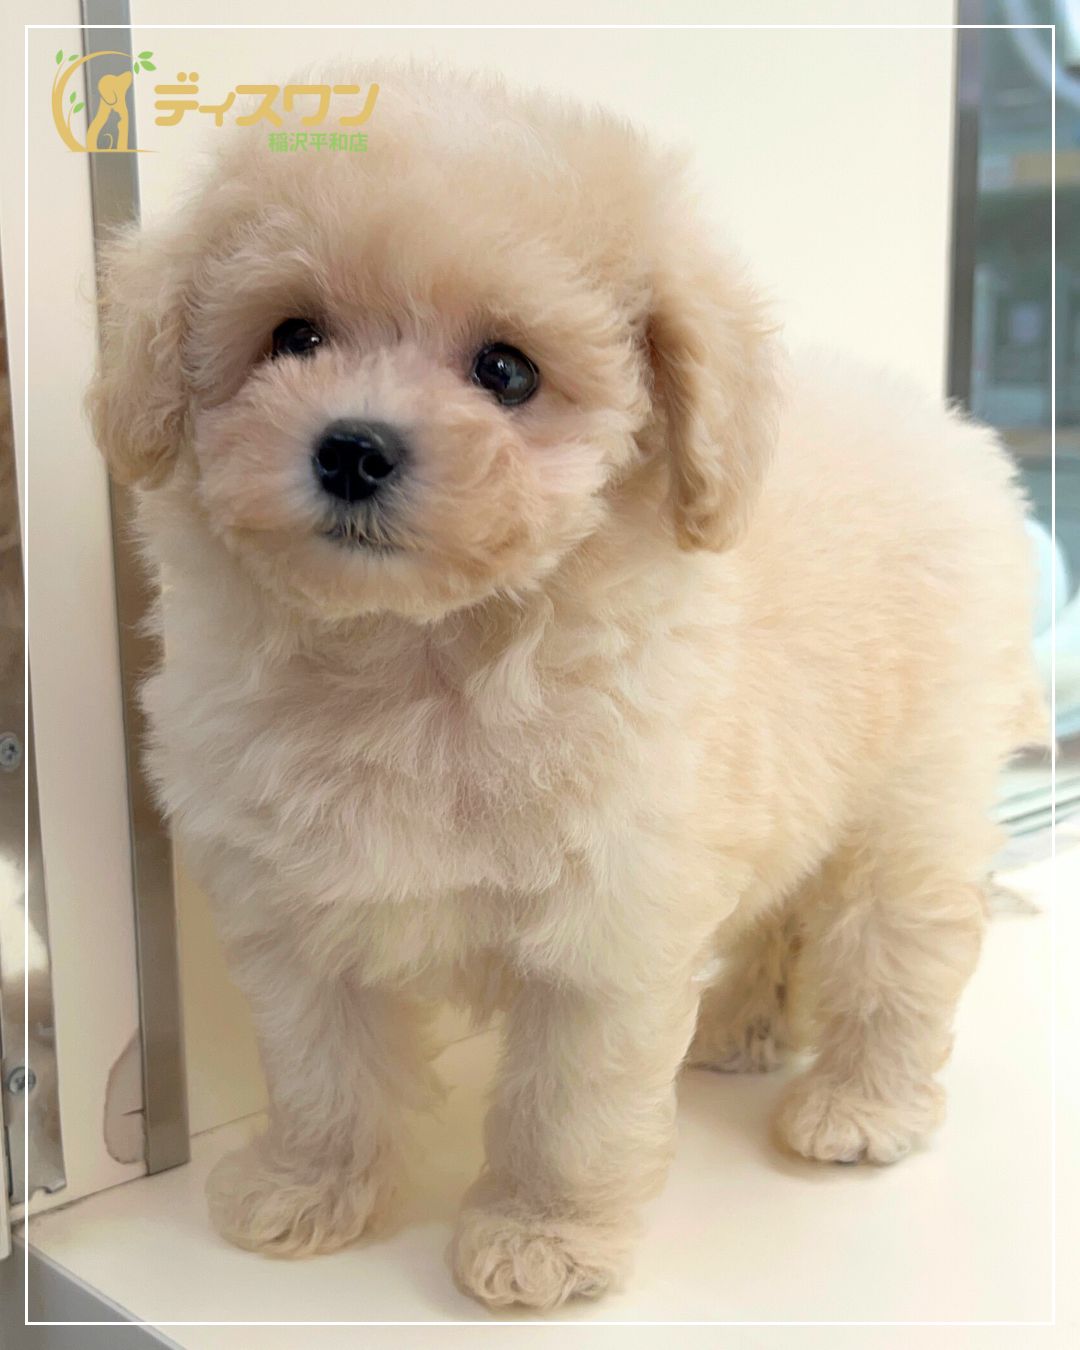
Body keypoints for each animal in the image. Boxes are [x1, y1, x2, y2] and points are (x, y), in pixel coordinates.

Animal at [87, 65, 1042, 1312]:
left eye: (507, 371)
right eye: (293, 334)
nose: (352, 449)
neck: (421, 653)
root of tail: (951, 432)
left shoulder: (606, 928)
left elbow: (566, 1109)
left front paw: (542, 1238)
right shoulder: (296, 910)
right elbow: (321, 1064)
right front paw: (309, 1187)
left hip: (911, 791)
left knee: (901, 941)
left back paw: (859, 1104)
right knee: (783, 908)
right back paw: (743, 1027)